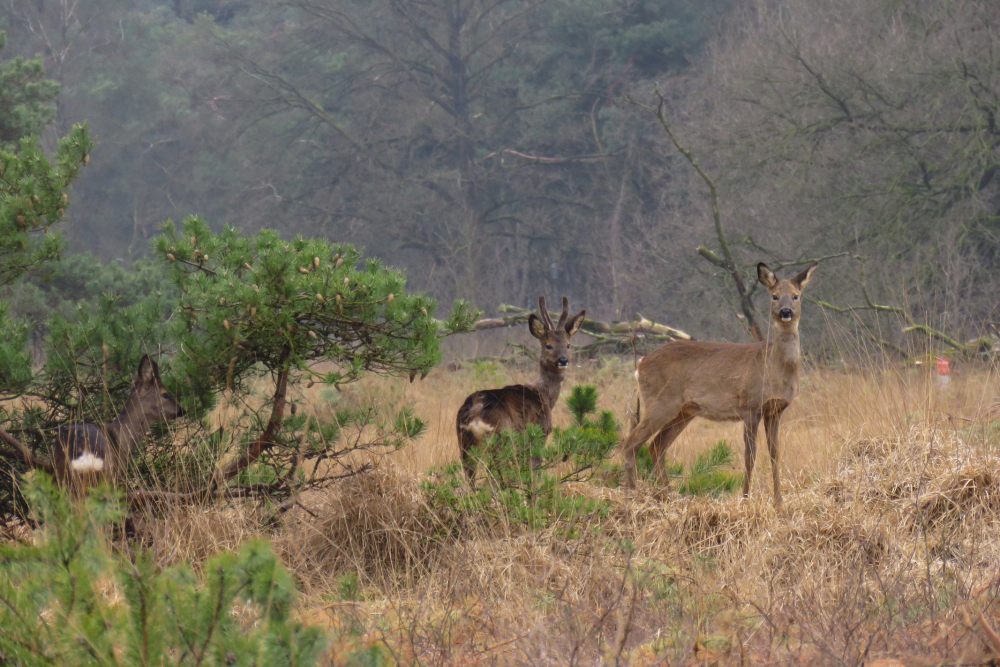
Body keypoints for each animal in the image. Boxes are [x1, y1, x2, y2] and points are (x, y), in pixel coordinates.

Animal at [458, 294, 588, 478]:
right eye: (548, 345)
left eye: (568, 344)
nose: (563, 360)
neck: (544, 396)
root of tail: (475, 413)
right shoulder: (538, 434)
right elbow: (533, 474)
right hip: (500, 439)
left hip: (464, 443)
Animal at [620, 260, 816, 506]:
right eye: (775, 296)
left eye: (796, 296)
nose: (786, 312)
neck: (773, 368)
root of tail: (641, 363)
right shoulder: (750, 406)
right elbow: (750, 456)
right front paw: (745, 499)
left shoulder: (775, 410)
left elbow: (775, 455)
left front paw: (779, 502)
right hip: (660, 402)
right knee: (631, 442)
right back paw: (632, 494)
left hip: (684, 411)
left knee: (656, 446)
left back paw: (668, 495)